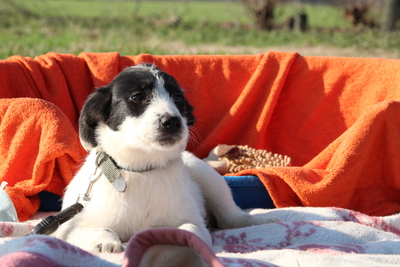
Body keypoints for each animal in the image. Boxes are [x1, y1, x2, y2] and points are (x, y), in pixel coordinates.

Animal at [55, 63, 276, 260]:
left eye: (178, 98)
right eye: (137, 97)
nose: (173, 121)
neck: (141, 170)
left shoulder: (191, 220)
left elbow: (190, 228)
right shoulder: (69, 228)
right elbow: (97, 230)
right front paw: (106, 242)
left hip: (210, 179)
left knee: (231, 216)